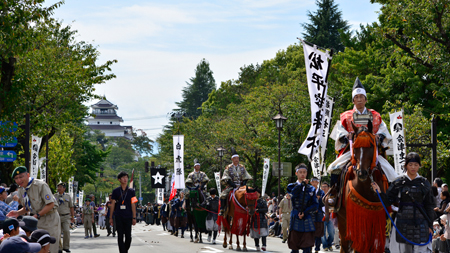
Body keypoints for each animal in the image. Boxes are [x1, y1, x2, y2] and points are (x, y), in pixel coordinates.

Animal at [336, 121, 388, 252]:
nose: (362, 173)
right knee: (344, 245)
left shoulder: (377, 218)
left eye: (370, 146)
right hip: (342, 219)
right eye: (355, 148)